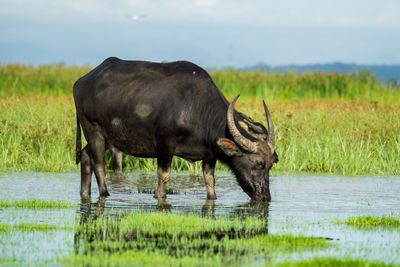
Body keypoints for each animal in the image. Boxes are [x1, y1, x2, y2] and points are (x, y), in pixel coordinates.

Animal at [72, 57, 278, 202]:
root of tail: (81, 82)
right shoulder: (164, 146)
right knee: (99, 164)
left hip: (108, 138)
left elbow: (209, 181)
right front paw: (159, 196)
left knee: (85, 156)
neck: (196, 108)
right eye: (259, 163)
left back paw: (84, 194)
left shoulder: (209, 155)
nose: (265, 197)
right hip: (93, 131)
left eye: (271, 164)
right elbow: (163, 176)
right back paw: (105, 193)